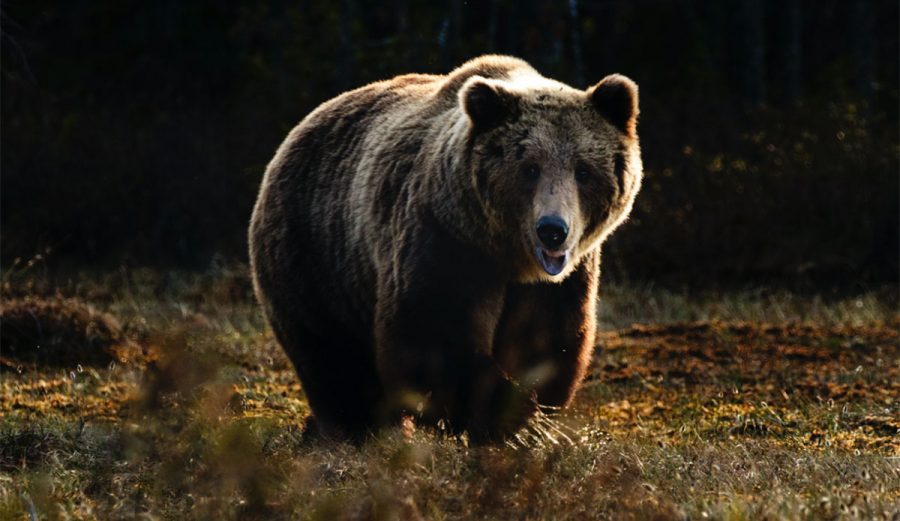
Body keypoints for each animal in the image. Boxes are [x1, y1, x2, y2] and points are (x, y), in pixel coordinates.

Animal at [248, 54, 640, 440]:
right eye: (530, 168)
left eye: (583, 170)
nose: (552, 230)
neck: (508, 255)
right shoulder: (445, 240)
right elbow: (433, 333)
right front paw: (510, 418)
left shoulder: (560, 280)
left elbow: (545, 340)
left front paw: (530, 415)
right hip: (315, 254)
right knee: (333, 355)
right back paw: (357, 428)